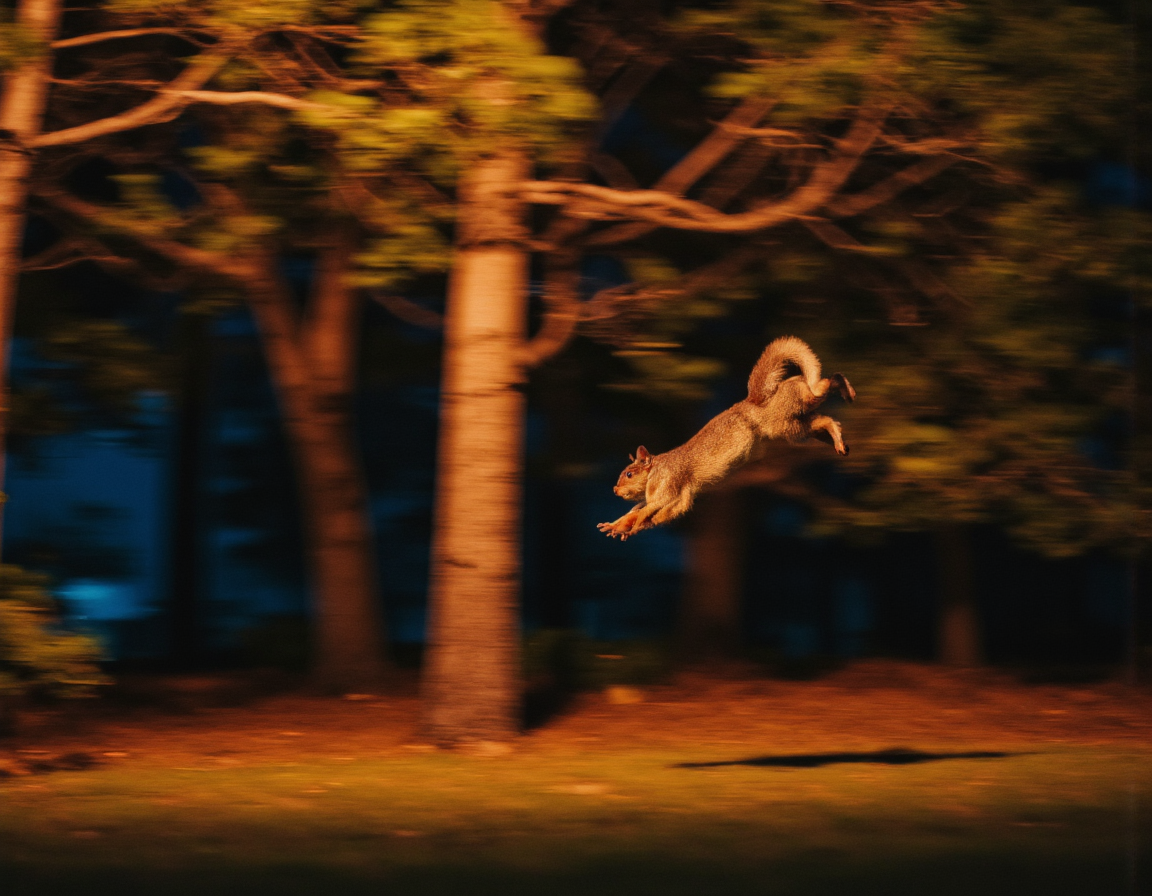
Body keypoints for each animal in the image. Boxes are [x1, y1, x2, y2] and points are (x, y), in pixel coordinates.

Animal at [597, 336, 855, 541]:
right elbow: (642, 513)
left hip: (783, 423)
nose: (615, 490)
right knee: (823, 414)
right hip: (796, 416)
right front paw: (615, 526)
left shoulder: (668, 486)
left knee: (823, 404)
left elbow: (647, 511)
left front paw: (631, 527)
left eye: (629, 474)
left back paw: (845, 392)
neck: (655, 473)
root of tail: (756, 400)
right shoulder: (675, 499)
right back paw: (840, 434)